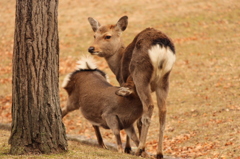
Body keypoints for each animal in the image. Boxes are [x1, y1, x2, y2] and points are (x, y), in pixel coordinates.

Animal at [87, 15, 175, 158]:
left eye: (107, 36)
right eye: (94, 35)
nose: (91, 48)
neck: (117, 66)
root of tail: (162, 46)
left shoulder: (125, 83)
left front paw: (129, 148)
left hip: (141, 75)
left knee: (149, 107)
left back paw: (140, 149)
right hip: (164, 79)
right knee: (163, 111)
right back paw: (159, 153)